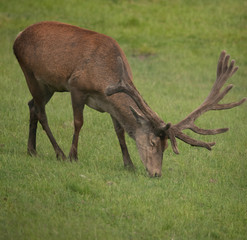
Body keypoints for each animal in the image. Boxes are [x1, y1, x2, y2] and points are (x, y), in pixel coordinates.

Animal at [13, 21, 245, 177]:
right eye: (152, 142)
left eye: (166, 147)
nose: (156, 173)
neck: (104, 80)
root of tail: (18, 36)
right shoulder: (76, 87)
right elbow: (78, 123)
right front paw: (73, 156)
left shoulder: (109, 104)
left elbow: (120, 131)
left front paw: (129, 164)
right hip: (30, 72)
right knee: (41, 112)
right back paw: (59, 153)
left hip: (48, 85)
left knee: (31, 105)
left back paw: (31, 150)